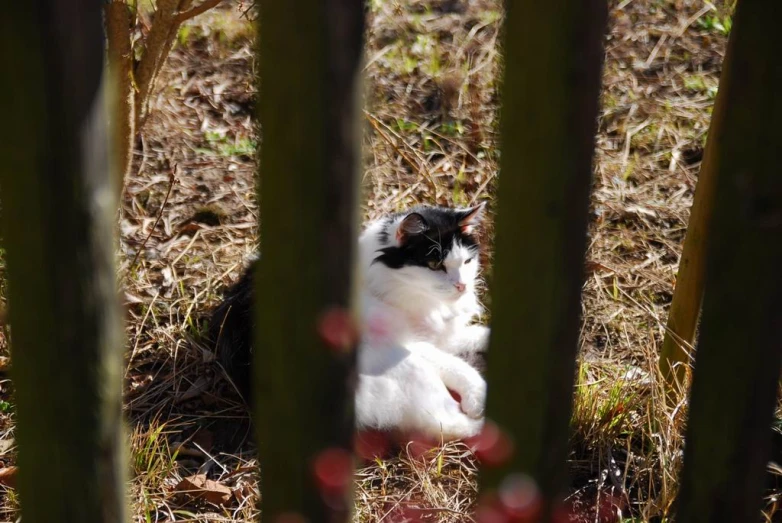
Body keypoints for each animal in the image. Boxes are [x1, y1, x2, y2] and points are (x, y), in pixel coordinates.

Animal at [208, 205, 490, 442]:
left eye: (467, 262)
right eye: (434, 264)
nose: (462, 285)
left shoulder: (440, 335)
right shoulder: (410, 344)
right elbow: (457, 365)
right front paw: (477, 395)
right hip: (405, 367)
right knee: (451, 423)